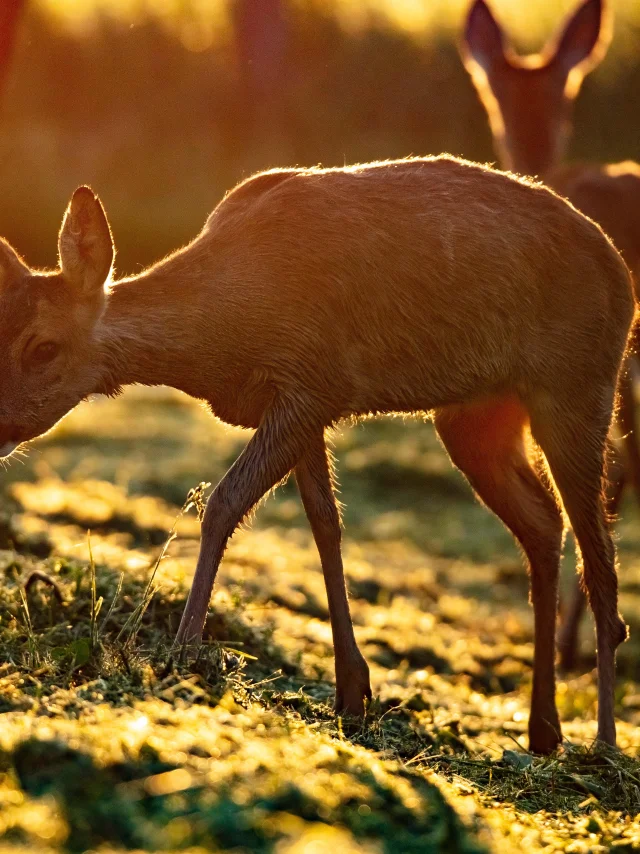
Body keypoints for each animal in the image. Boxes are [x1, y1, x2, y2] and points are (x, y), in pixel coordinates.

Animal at [0, 157, 636, 752]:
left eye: (44, 347)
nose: (2, 424)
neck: (221, 333)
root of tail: (621, 275)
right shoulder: (303, 399)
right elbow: (325, 524)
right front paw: (353, 688)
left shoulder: (315, 381)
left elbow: (223, 504)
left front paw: (183, 656)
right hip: (476, 416)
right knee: (543, 522)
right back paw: (543, 728)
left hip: (579, 381)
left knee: (600, 553)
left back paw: (602, 744)